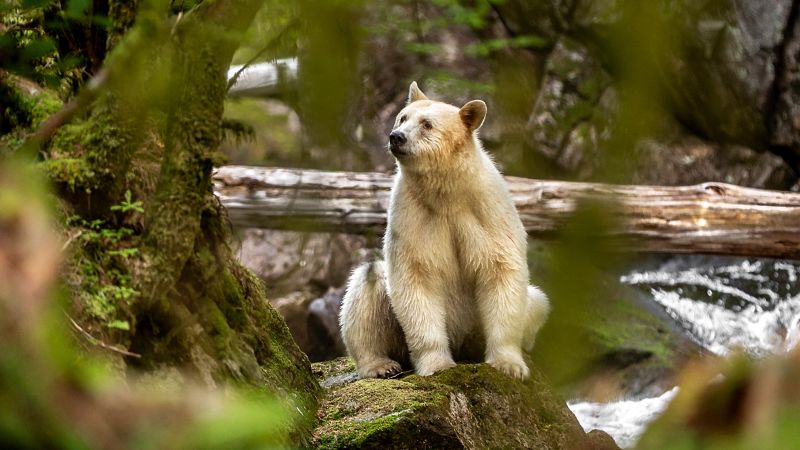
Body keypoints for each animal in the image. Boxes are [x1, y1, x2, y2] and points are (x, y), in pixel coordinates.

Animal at [339, 82, 550, 380]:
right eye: (402, 117)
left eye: (426, 124)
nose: (396, 137)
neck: (447, 193)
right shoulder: (413, 213)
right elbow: (416, 274)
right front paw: (437, 364)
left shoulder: (487, 210)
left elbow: (500, 270)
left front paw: (509, 365)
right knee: (368, 286)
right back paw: (380, 364)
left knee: (537, 301)